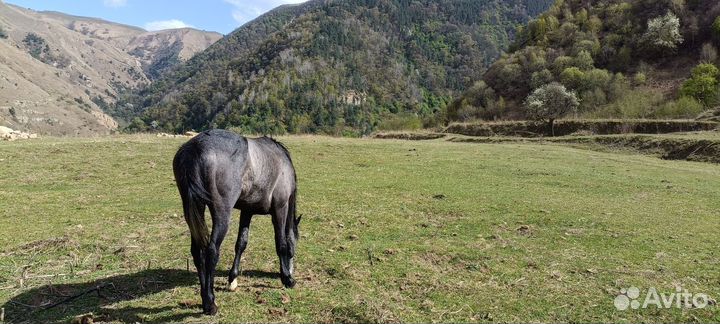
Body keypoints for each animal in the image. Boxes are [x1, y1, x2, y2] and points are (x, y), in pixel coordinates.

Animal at [173, 130, 300, 316]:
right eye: (296, 244)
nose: (292, 270)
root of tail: (196, 147)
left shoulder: (247, 211)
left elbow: (241, 243)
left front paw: (232, 279)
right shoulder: (280, 208)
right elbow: (281, 244)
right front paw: (287, 279)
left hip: (193, 211)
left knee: (197, 252)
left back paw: (205, 299)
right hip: (222, 213)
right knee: (211, 251)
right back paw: (210, 303)